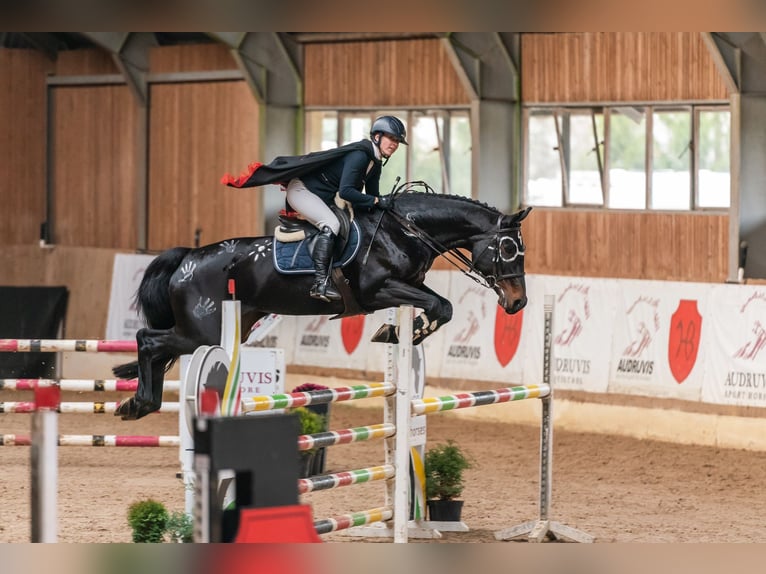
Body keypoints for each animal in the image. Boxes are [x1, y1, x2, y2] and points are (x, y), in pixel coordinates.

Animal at [114, 187, 536, 420]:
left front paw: (400, 332)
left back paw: (134, 402)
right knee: (148, 339)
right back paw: (139, 403)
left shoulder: (406, 286)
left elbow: (437, 306)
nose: (518, 302)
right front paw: (399, 332)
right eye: (508, 249)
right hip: (201, 331)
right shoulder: (378, 290)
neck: (404, 230)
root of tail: (189, 257)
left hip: (230, 326)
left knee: (155, 345)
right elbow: (442, 306)